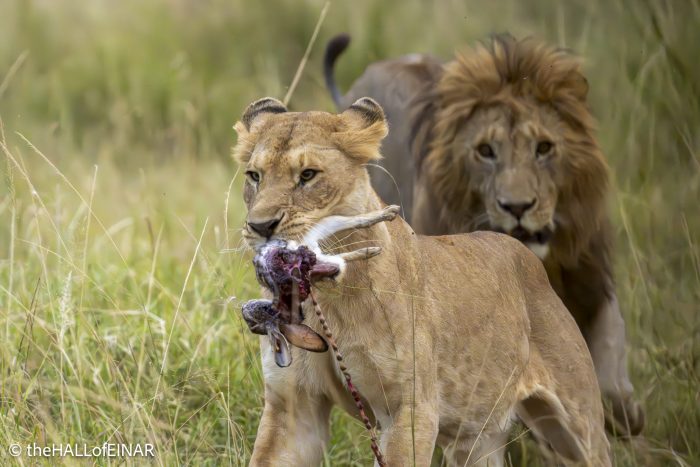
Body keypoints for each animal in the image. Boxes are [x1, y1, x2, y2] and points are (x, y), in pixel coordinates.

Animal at [233, 96, 610, 466]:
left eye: (308, 175)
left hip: (580, 427)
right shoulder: (293, 407)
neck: (326, 298)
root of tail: (527, 255)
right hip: (476, 440)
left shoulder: (410, 409)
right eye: (254, 176)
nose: (261, 227)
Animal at [324, 34, 643, 436]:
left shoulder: (590, 276)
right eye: (485, 151)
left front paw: (626, 415)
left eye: (544, 148)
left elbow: (610, 347)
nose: (517, 206)